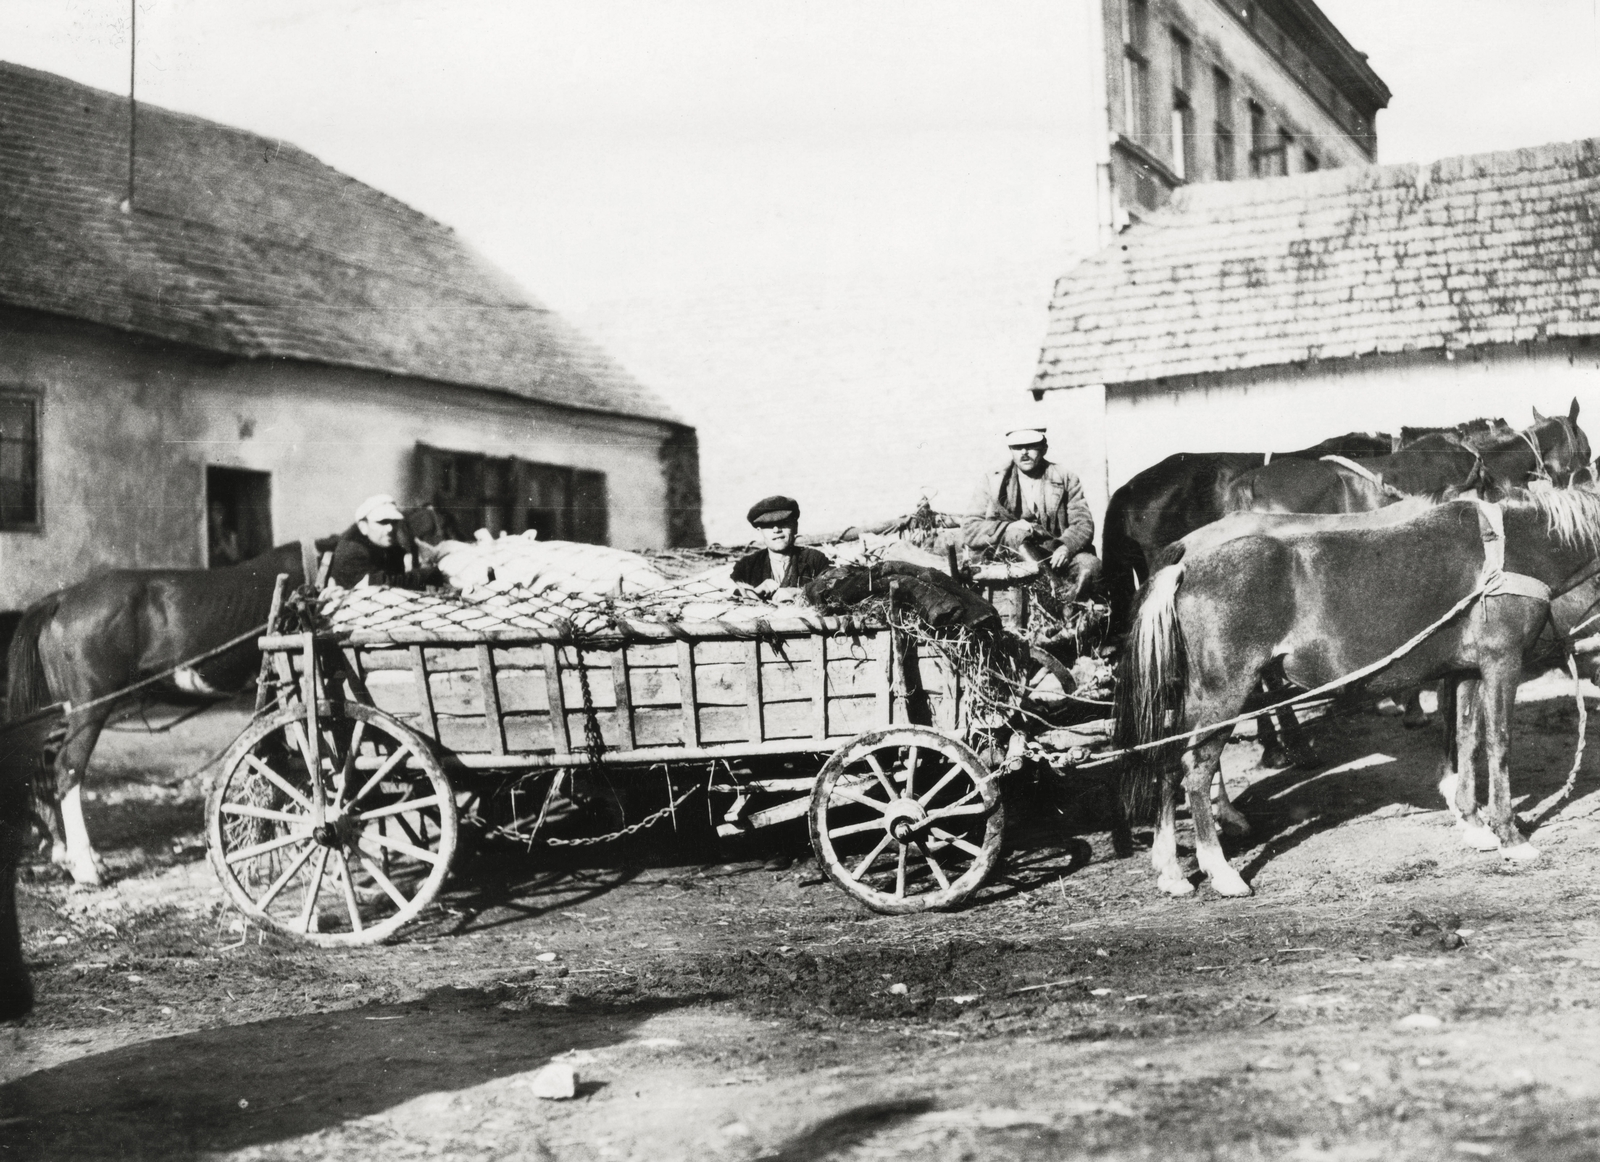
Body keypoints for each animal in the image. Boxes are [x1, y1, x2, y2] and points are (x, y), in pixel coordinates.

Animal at [1113, 492, 1600, 902]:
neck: (1512, 552)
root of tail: (1185, 568)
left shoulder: (1465, 670)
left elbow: (1466, 741)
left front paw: (1474, 823)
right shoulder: (1502, 664)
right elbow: (1499, 744)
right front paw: (1510, 836)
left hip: (1193, 699)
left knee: (1167, 763)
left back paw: (1171, 871)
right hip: (1224, 694)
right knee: (1196, 770)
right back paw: (1221, 871)